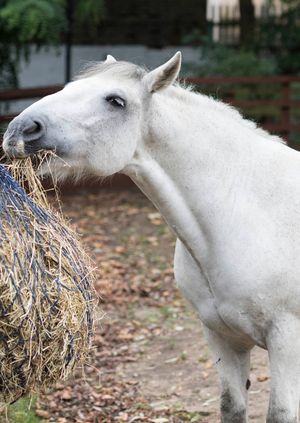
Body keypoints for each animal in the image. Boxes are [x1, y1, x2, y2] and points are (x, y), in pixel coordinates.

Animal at [3, 53, 300, 423]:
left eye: (116, 101)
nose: (20, 130)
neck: (250, 209)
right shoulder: (222, 337)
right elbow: (231, 408)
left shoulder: (287, 343)